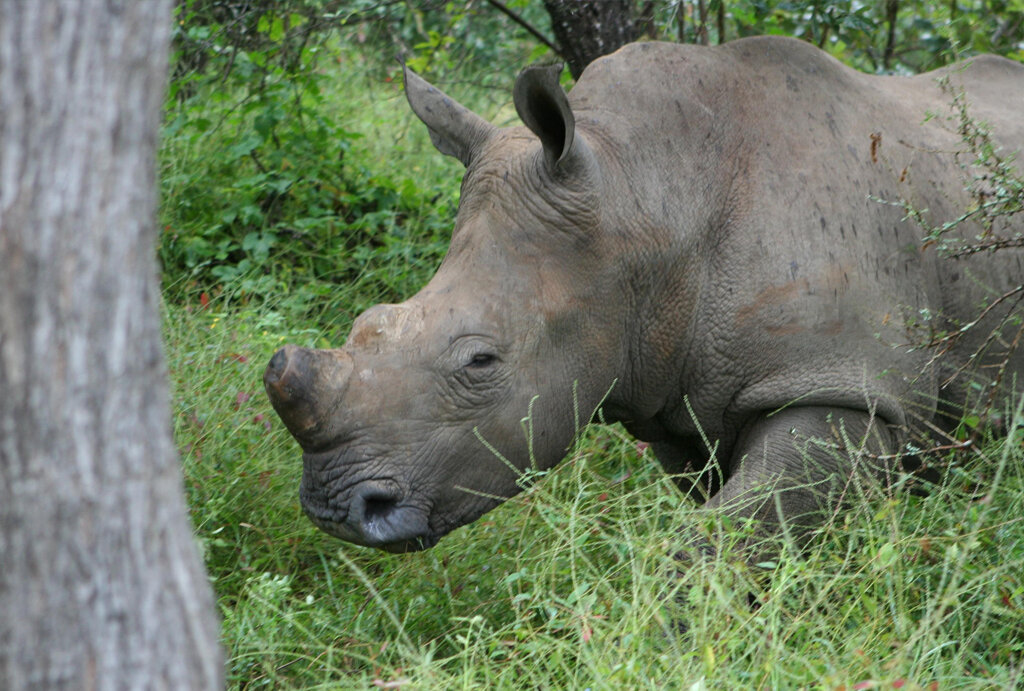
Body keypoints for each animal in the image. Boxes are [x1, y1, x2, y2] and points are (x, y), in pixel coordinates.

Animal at [265, 36, 1024, 555]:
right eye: (367, 321)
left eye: (480, 362)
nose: (336, 507)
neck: (646, 195)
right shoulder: (673, 392)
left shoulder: (844, 384)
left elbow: (719, 539)